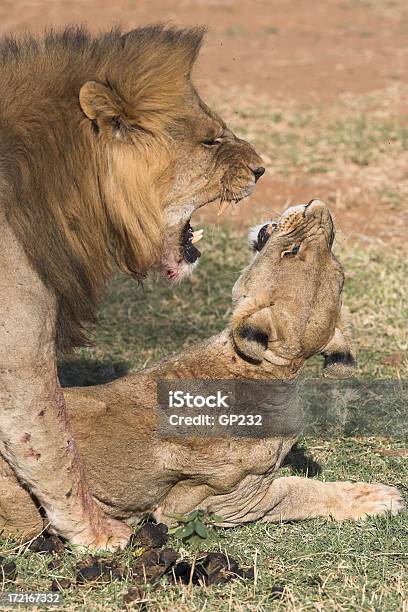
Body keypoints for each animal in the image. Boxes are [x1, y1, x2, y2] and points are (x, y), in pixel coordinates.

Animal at [0, 203, 402, 536]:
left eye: (334, 264)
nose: (320, 208)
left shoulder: (218, 502)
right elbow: (299, 488)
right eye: (295, 252)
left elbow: (298, 489)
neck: (268, 371)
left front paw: (375, 496)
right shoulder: (211, 502)